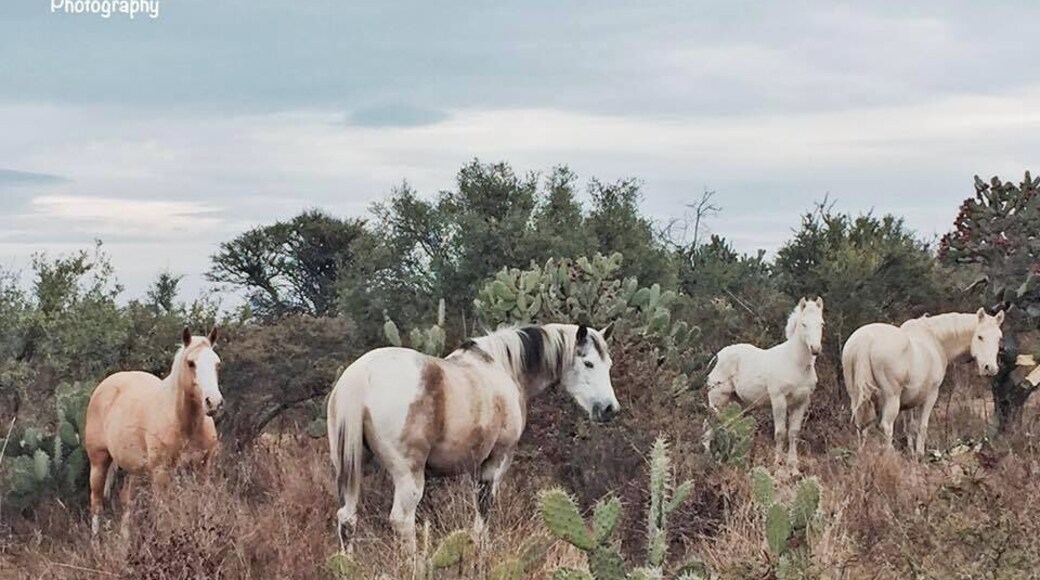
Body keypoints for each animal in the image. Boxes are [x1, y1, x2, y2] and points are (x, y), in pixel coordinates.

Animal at [83, 327, 223, 535]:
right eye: (191, 363)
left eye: (217, 364)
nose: (213, 402)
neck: (183, 423)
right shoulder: (161, 473)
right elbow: (165, 518)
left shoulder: (203, 468)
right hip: (98, 462)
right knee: (96, 504)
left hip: (134, 470)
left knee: (127, 501)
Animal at [326, 323, 618, 554]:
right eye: (588, 363)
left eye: (609, 365)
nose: (609, 409)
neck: (503, 367)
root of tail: (360, 376)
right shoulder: (497, 460)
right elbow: (484, 507)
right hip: (408, 475)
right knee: (401, 520)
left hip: (352, 469)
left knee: (347, 518)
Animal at [705, 297, 824, 468]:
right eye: (803, 324)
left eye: (821, 324)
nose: (815, 349)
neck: (795, 364)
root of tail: (716, 357)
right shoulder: (779, 400)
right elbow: (780, 433)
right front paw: (777, 463)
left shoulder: (801, 402)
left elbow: (793, 433)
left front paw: (793, 466)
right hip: (717, 400)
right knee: (710, 426)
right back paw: (708, 459)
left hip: (736, 402)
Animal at [842, 308, 1004, 456]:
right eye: (980, 336)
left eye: (999, 338)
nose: (990, 368)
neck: (934, 339)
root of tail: (865, 340)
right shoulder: (930, 396)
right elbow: (922, 427)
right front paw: (919, 454)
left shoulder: (907, 402)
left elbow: (909, 427)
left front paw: (912, 452)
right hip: (891, 398)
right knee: (886, 426)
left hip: (856, 397)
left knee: (860, 425)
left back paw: (862, 453)